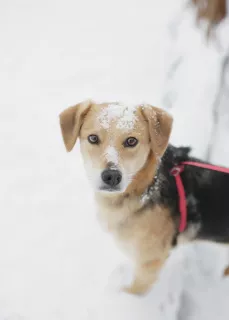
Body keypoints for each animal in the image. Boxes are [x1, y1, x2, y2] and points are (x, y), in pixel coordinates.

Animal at [59, 100, 229, 296]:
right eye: (93, 138)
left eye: (131, 141)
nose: (111, 176)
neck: (144, 187)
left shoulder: (150, 260)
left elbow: (136, 289)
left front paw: (125, 298)